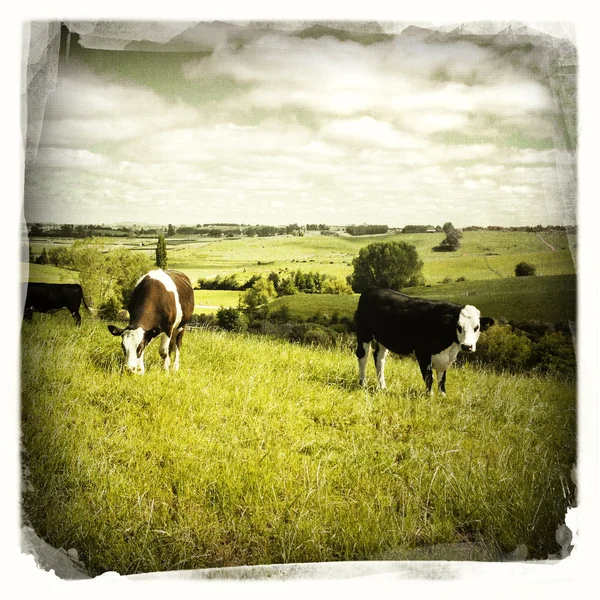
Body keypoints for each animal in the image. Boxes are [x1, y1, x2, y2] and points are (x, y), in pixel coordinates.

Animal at [354, 288, 494, 396]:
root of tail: (373, 289)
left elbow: (442, 377)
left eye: (477, 327)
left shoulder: (445, 358)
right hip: (363, 333)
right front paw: (430, 396)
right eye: (458, 326)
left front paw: (443, 395)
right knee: (363, 356)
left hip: (383, 340)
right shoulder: (423, 353)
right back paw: (363, 383)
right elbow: (429, 377)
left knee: (379, 358)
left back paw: (382, 386)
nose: (467, 346)